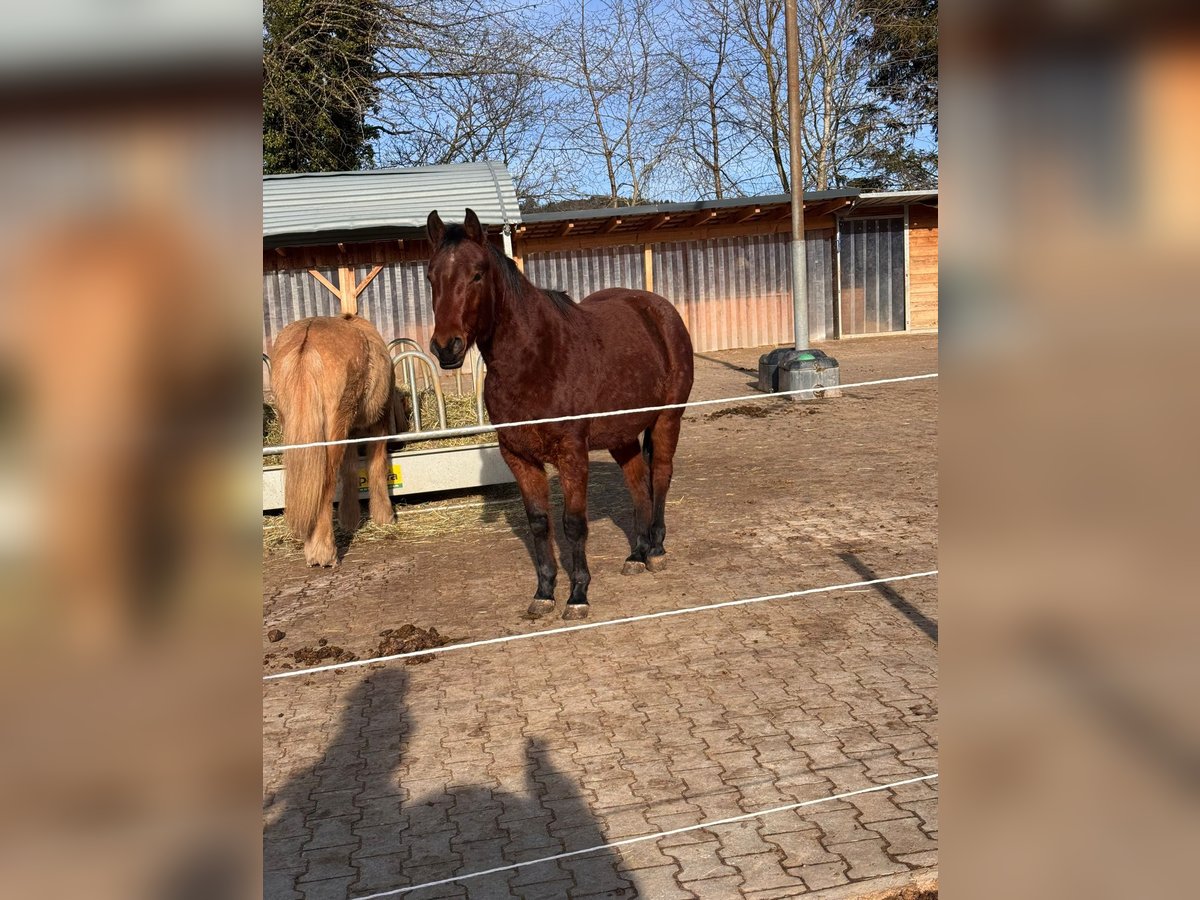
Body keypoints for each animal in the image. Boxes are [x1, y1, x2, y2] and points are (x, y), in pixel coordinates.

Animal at [272, 314, 396, 566]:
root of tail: (307, 341)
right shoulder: (379, 421)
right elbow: (376, 465)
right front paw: (384, 515)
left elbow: (349, 470)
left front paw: (350, 519)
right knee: (326, 482)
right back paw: (323, 552)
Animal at [426, 208, 694, 620]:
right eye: (430, 276)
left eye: (477, 274)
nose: (446, 347)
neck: (536, 359)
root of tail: (659, 310)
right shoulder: (519, 457)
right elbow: (539, 524)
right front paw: (544, 592)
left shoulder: (572, 454)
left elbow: (573, 524)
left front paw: (578, 594)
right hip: (621, 435)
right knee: (637, 484)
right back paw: (637, 553)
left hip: (667, 419)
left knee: (660, 476)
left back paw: (657, 551)